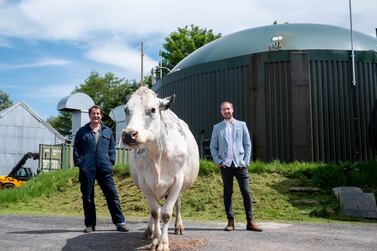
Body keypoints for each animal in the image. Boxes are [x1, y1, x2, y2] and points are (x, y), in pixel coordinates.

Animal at [121, 87, 200, 251]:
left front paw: (163, 243)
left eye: (153, 109)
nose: (129, 135)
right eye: (126, 109)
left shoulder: (177, 181)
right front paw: (156, 239)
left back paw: (178, 226)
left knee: (178, 204)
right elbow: (155, 212)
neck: (157, 153)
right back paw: (149, 230)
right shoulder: (145, 182)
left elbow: (166, 214)